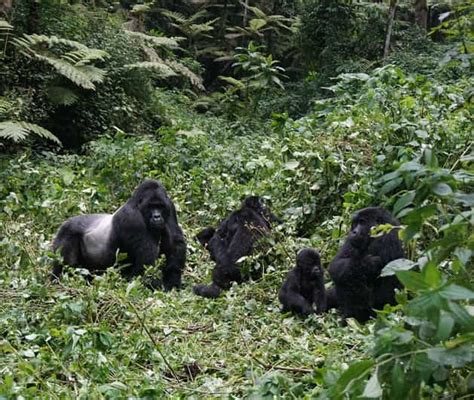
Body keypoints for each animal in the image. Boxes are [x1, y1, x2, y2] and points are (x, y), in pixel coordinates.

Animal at [51, 180, 185, 290]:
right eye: (151, 206)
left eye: (160, 206)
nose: (157, 216)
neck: (139, 207)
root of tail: (64, 223)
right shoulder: (131, 218)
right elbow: (146, 261)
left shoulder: (169, 205)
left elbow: (175, 242)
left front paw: (172, 280)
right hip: (66, 233)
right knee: (65, 265)